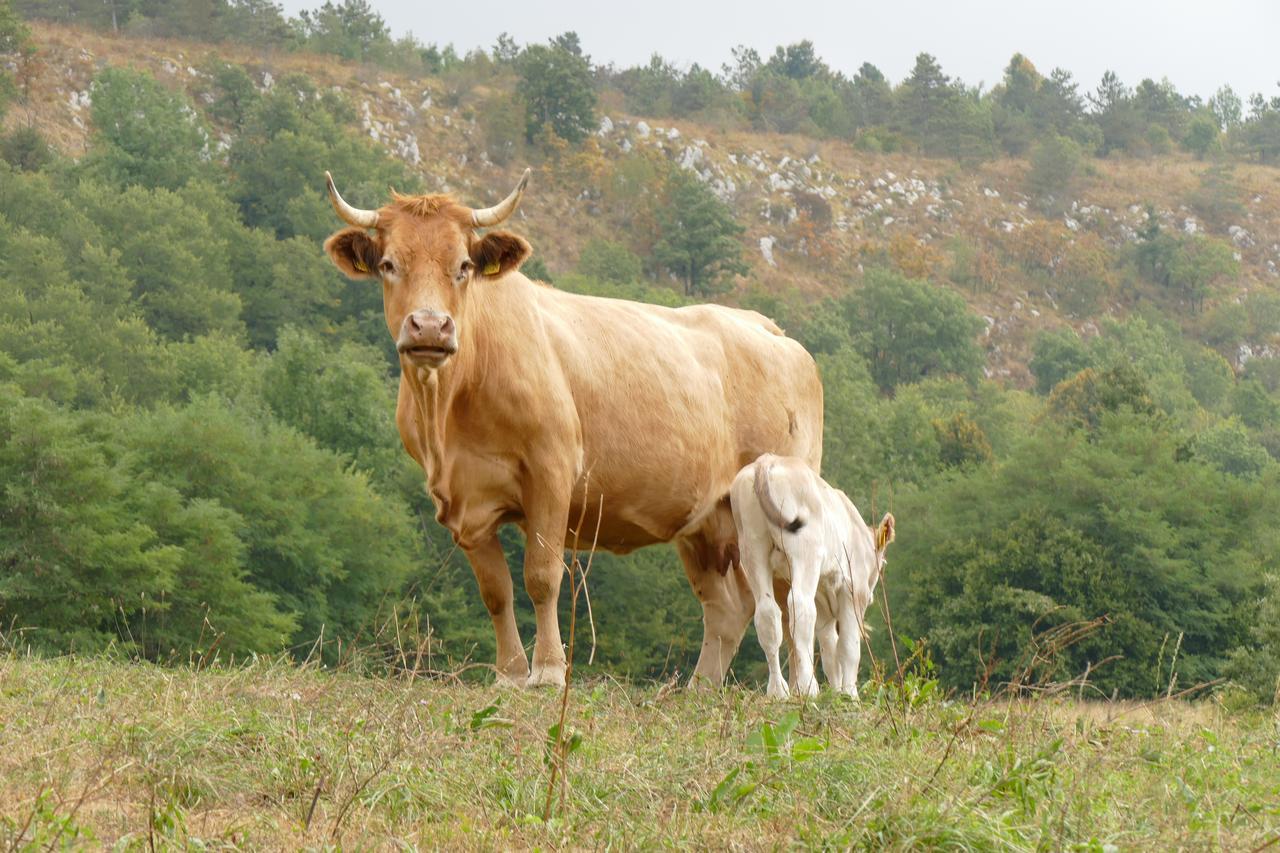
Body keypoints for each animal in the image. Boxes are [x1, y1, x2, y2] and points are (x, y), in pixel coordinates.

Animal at [320, 167, 819, 686]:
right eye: (388, 264)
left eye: (463, 266)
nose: (430, 327)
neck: (452, 406)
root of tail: (767, 328)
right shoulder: (464, 500)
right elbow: (495, 591)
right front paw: (510, 674)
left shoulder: (551, 472)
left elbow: (541, 576)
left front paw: (548, 671)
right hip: (706, 518)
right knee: (727, 607)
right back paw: (699, 688)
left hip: (780, 512)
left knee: (792, 600)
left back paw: (800, 688)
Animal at [732, 450, 901, 696]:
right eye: (883, 563)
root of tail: (768, 460)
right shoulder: (853, 592)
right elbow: (849, 647)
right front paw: (850, 694)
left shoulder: (824, 606)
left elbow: (830, 651)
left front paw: (837, 691)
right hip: (804, 550)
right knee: (800, 607)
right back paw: (807, 686)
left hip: (752, 548)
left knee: (767, 614)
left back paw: (778, 690)